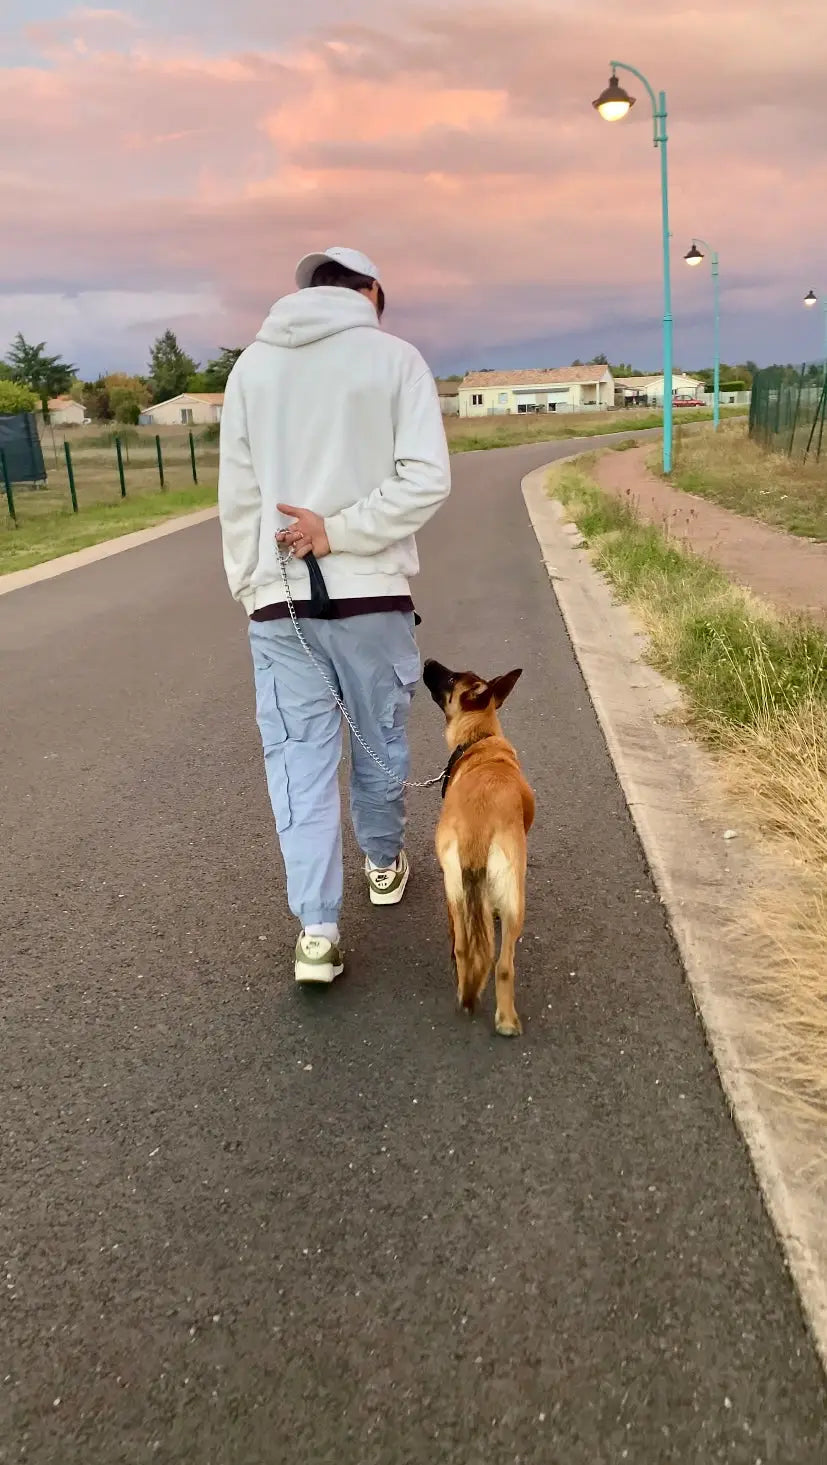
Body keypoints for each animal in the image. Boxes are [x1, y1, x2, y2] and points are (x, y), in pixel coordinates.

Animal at [421, 659, 532, 1037]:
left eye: (452, 677)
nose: (427, 662)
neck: (479, 739)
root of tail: (477, 832)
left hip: (455, 892)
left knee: (464, 948)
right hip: (514, 902)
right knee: (503, 964)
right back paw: (506, 1018)